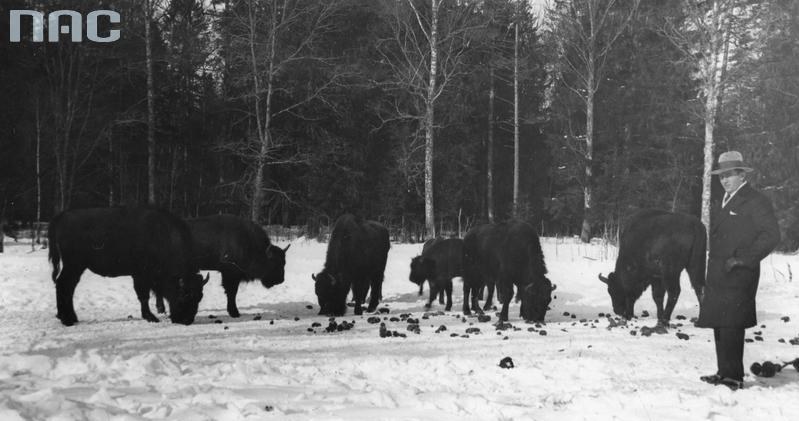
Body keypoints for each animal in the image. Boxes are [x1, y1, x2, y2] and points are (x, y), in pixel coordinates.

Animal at [47, 207, 208, 324]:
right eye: (185, 294)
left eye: (200, 296)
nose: (186, 320)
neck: (163, 238)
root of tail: (62, 216)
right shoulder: (141, 275)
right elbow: (143, 296)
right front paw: (151, 317)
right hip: (74, 265)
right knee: (64, 285)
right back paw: (67, 319)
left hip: (76, 267)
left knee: (68, 287)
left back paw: (70, 317)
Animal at [154, 215, 290, 316]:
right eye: (273, 263)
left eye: (284, 262)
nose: (280, 280)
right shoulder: (230, 274)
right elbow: (231, 293)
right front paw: (234, 312)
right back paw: (161, 309)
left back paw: (161, 309)